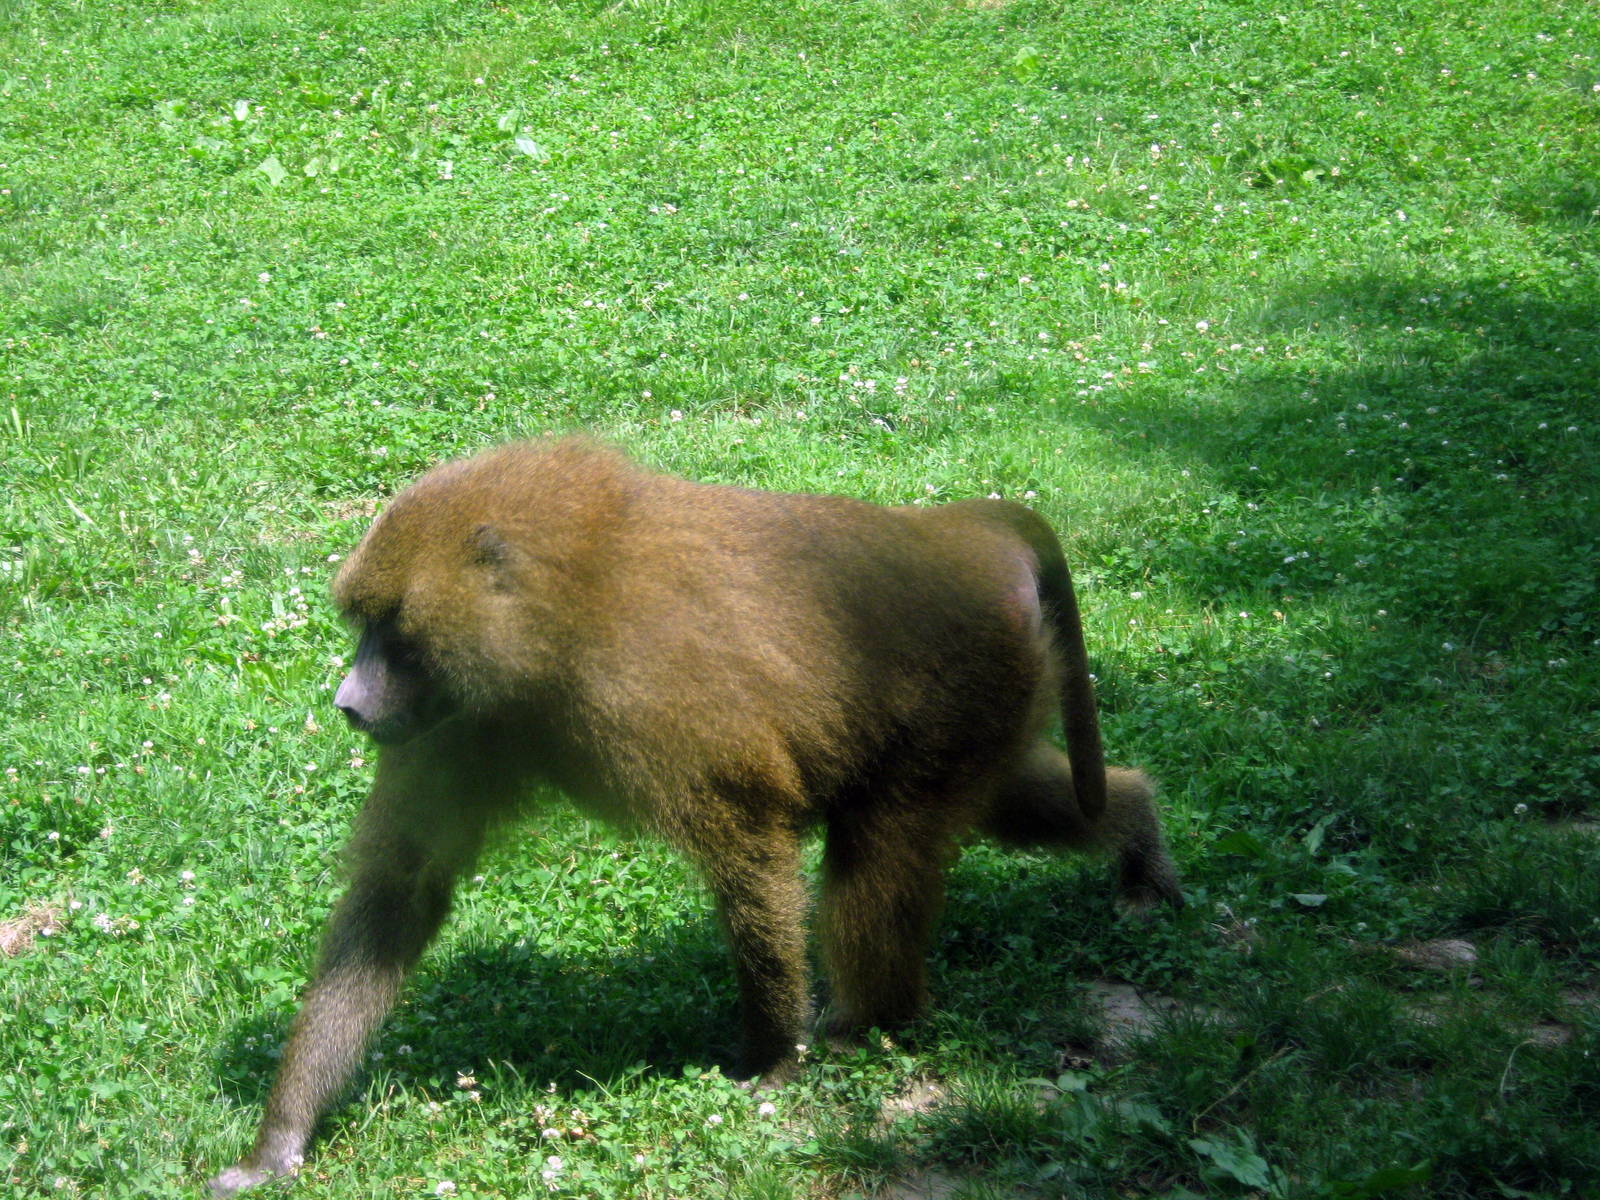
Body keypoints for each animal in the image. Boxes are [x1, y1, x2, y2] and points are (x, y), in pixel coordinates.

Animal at [207, 437, 1181, 1196]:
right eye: (364, 628)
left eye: (390, 634)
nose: (348, 704)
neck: (566, 611)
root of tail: (962, 534)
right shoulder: (455, 721)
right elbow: (403, 887)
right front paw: (279, 1144)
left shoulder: (645, 694)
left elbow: (749, 843)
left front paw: (773, 1058)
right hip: (996, 696)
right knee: (1014, 802)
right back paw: (1140, 845)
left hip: (968, 684)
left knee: (878, 856)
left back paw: (868, 1026)